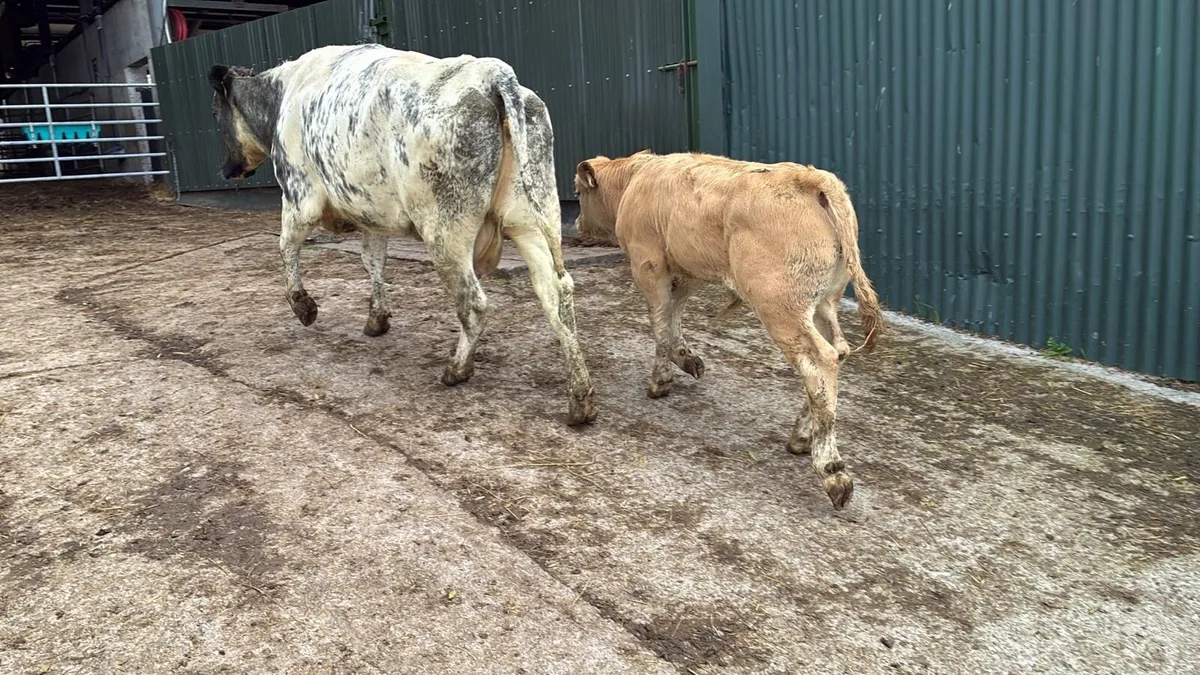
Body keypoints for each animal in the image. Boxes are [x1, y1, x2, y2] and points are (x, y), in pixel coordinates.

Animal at [206, 43, 596, 425]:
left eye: (214, 113)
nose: (226, 169)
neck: (283, 94)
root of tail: (489, 73)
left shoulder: (300, 194)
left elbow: (286, 246)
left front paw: (304, 307)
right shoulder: (371, 213)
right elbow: (373, 260)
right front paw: (376, 319)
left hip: (445, 230)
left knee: (473, 301)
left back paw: (457, 369)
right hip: (534, 215)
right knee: (556, 292)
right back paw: (580, 398)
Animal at [573, 151, 883, 509]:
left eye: (578, 192)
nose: (576, 223)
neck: (635, 178)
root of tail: (810, 178)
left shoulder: (648, 265)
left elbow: (660, 320)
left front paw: (660, 380)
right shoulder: (687, 268)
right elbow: (674, 314)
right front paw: (686, 359)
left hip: (780, 307)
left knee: (820, 361)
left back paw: (830, 469)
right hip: (822, 303)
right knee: (836, 354)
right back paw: (803, 436)